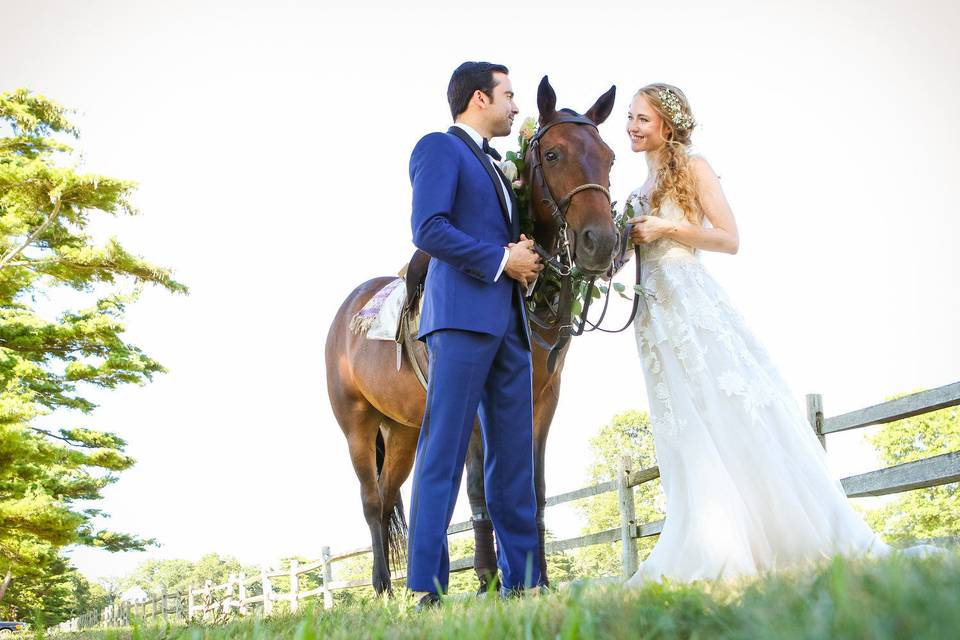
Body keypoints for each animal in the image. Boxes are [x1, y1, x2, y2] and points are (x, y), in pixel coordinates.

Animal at [326, 76, 620, 596]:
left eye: (609, 156)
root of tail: (349, 310)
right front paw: (487, 578)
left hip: (402, 433)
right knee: (371, 503)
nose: (600, 244)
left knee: (388, 495)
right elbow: (479, 488)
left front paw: (536, 578)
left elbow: (533, 487)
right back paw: (384, 589)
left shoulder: (543, 401)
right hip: (358, 427)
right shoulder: (475, 402)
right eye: (553, 154)